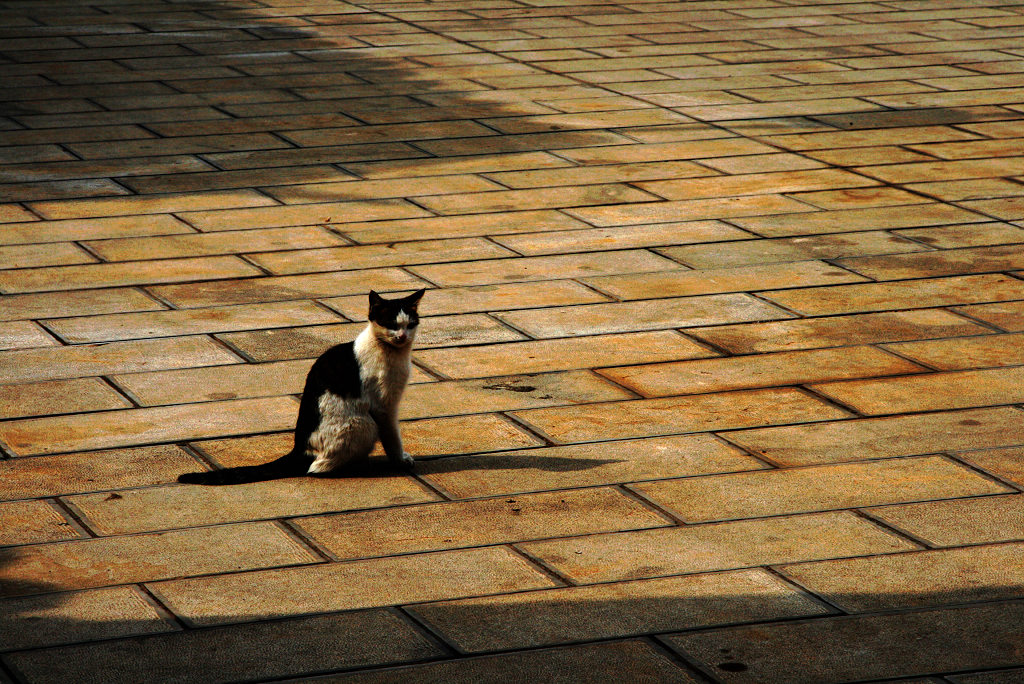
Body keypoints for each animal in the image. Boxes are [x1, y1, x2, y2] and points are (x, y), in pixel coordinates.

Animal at [178, 288, 425, 485]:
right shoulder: (385, 407)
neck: (393, 353)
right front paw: (400, 460)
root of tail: (300, 448)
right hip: (363, 424)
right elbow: (393, 437)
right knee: (317, 469)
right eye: (391, 324)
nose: (402, 336)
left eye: (410, 324)